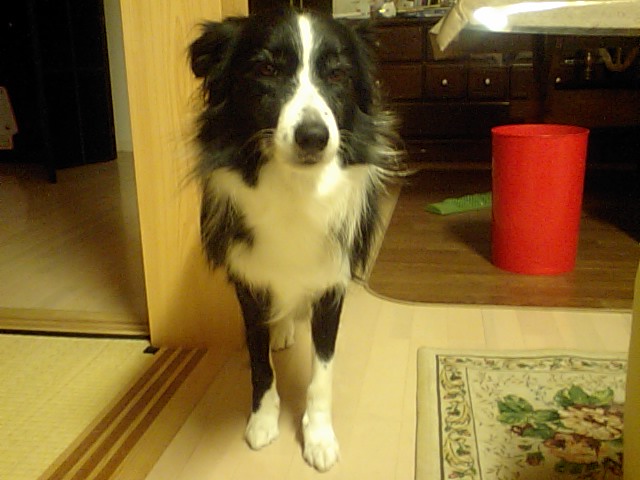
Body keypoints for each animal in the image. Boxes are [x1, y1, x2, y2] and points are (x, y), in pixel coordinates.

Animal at [189, 7, 402, 472]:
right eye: (266, 70)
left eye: (337, 75)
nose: (313, 137)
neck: (295, 188)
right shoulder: (248, 280)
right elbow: (258, 360)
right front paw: (262, 420)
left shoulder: (332, 283)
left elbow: (322, 372)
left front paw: (319, 437)